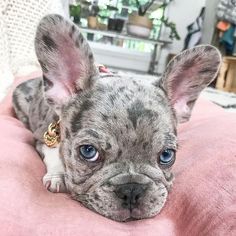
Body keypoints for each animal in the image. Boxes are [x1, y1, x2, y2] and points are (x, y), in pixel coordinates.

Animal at [12, 14, 221, 221]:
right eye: (88, 151)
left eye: (167, 155)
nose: (132, 189)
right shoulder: (42, 136)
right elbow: (53, 151)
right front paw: (58, 175)